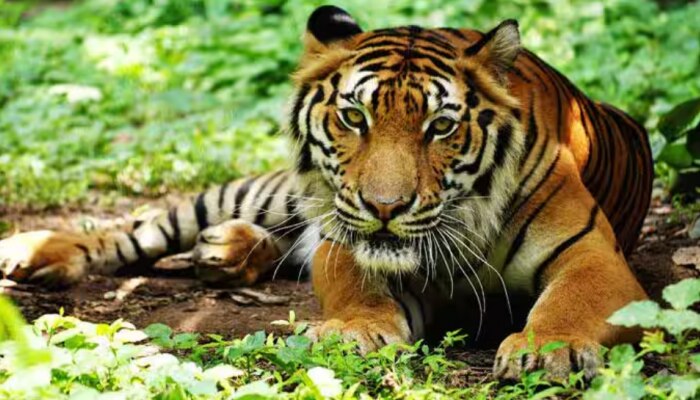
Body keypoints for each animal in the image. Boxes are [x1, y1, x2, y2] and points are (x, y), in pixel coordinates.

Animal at [0, 6, 652, 381]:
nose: (386, 208)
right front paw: (354, 331)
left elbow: (572, 301)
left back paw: (226, 251)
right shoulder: (344, 238)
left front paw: (549, 350)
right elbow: (351, 281)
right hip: (265, 193)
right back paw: (34, 253)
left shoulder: (594, 257)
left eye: (440, 127)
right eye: (354, 117)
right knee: (141, 227)